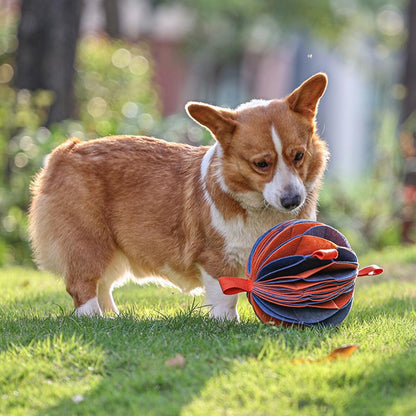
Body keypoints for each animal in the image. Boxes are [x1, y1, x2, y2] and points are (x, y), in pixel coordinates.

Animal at [28, 72, 328, 318]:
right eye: (261, 164)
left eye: (299, 156)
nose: (292, 201)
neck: (260, 208)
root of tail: (65, 151)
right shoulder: (215, 258)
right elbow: (225, 299)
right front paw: (227, 324)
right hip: (88, 241)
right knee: (83, 285)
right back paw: (94, 318)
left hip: (112, 250)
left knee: (104, 284)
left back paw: (114, 317)